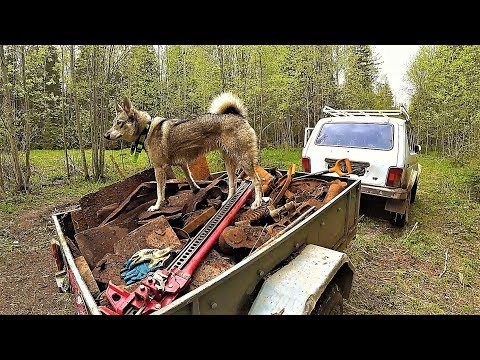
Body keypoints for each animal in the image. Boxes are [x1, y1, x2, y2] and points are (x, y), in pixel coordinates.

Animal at [104, 91, 262, 212]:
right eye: (113, 123)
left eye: (119, 123)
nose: (106, 135)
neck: (147, 130)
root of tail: (237, 115)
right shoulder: (182, 164)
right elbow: (189, 178)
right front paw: (196, 190)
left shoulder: (159, 168)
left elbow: (159, 191)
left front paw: (156, 206)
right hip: (229, 163)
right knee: (232, 185)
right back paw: (227, 201)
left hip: (243, 160)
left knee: (257, 180)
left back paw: (258, 202)